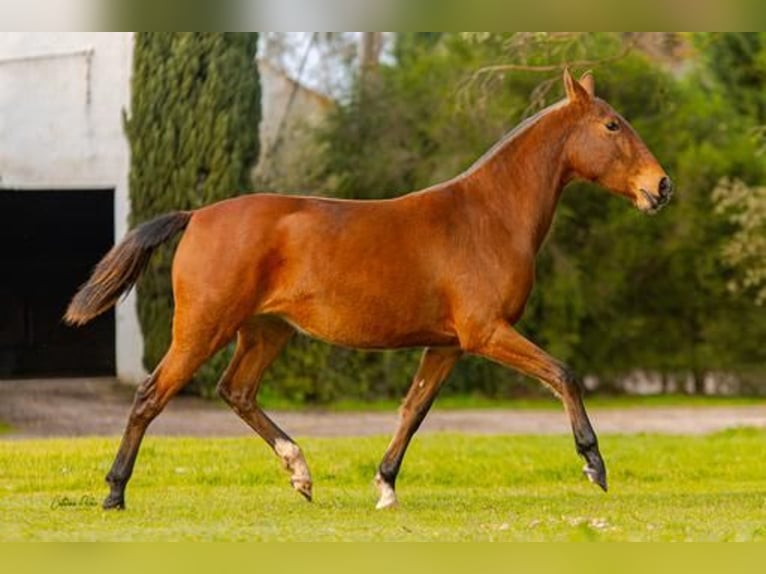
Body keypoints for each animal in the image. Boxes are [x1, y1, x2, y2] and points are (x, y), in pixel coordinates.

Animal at [66, 70, 672, 510]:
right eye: (612, 125)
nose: (661, 187)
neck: (488, 215)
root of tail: (196, 216)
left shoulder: (447, 345)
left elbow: (413, 410)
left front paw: (385, 485)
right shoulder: (486, 333)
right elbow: (563, 374)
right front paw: (594, 465)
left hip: (265, 332)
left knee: (236, 392)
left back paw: (300, 473)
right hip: (203, 328)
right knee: (150, 396)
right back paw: (115, 493)